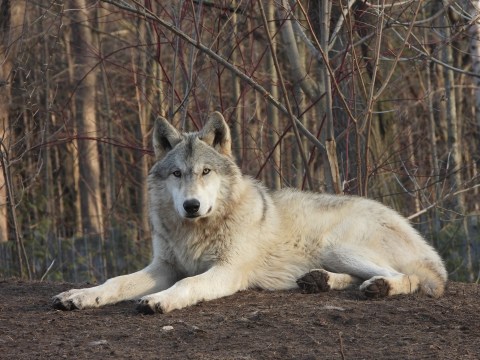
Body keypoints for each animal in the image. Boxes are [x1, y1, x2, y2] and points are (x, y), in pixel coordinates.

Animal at [54, 111, 448, 314]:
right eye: (177, 174)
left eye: (206, 172)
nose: (191, 206)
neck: (199, 230)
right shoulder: (163, 266)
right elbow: (115, 282)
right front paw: (80, 296)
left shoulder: (227, 270)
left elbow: (188, 284)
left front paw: (159, 300)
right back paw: (318, 281)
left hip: (339, 246)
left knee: (410, 278)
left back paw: (379, 287)